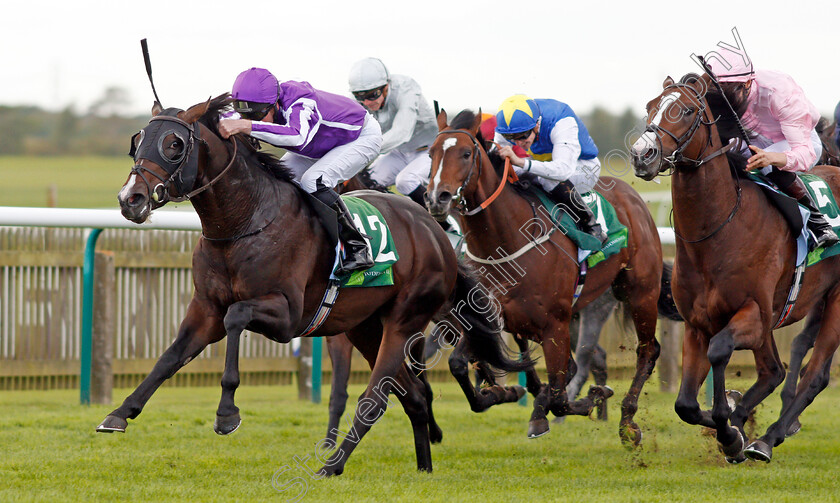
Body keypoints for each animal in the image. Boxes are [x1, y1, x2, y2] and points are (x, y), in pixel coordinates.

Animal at [98, 95, 532, 476]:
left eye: (173, 145)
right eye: (138, 140)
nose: (130, 199)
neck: (243, 223)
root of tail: (435, 231)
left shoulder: (286, 316)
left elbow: (236, 317)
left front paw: (227, 413)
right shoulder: (205, 308)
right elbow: (169, 357)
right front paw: (119, 414)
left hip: (406, 319)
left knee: (376, 398)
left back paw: (332, 465)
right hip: (365, 327)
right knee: (414, 395)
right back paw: (424, 467)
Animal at [426, 110, 668, 444]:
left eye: (465, 153)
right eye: (430, 153)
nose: (437, 198)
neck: (504, 242)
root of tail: (634, 198)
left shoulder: (555, 325)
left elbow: (559, 397)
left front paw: (589, 397)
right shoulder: (487, 317)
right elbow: (460, 364)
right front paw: (501, 393)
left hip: (640, 293)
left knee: (647, 350)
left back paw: (628, 422)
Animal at [632, 73, 840, 462]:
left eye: (686, 110)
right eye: (650, 106)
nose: (642, 154)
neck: (718, 232)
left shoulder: (753, 314)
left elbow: (720, 350)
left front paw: (730, 429)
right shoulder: (697, 324)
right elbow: (685, 404)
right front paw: (730, 422)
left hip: (834, 301)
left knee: (815, 374)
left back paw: (767, 438)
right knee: (774, 370)